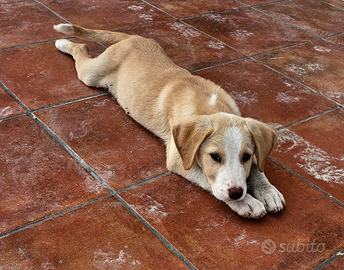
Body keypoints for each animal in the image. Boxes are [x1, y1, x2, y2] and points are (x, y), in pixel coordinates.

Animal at [53, 24, 284, 218]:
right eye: (215, 157)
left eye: (246, 156)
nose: (236, 193)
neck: (211, 106)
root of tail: (133, 38)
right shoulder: (179, 159)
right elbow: (209, 180)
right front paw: (247, 202)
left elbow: (257, 168)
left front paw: (268, 191)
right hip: (91, 74)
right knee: (81, 49)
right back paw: (62, 43)